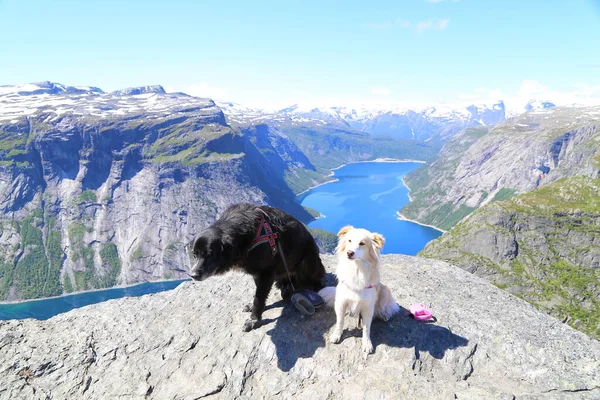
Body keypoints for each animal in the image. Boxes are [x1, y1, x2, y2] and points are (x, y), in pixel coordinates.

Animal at [189, 203, 326, 332]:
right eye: (194, 255)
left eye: (209, 254)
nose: (193, 275)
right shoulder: (257, 272)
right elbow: (259, 293)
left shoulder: (266, 272)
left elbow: (259, 298)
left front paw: (254, 320)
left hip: (307, 261)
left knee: (316, 279)